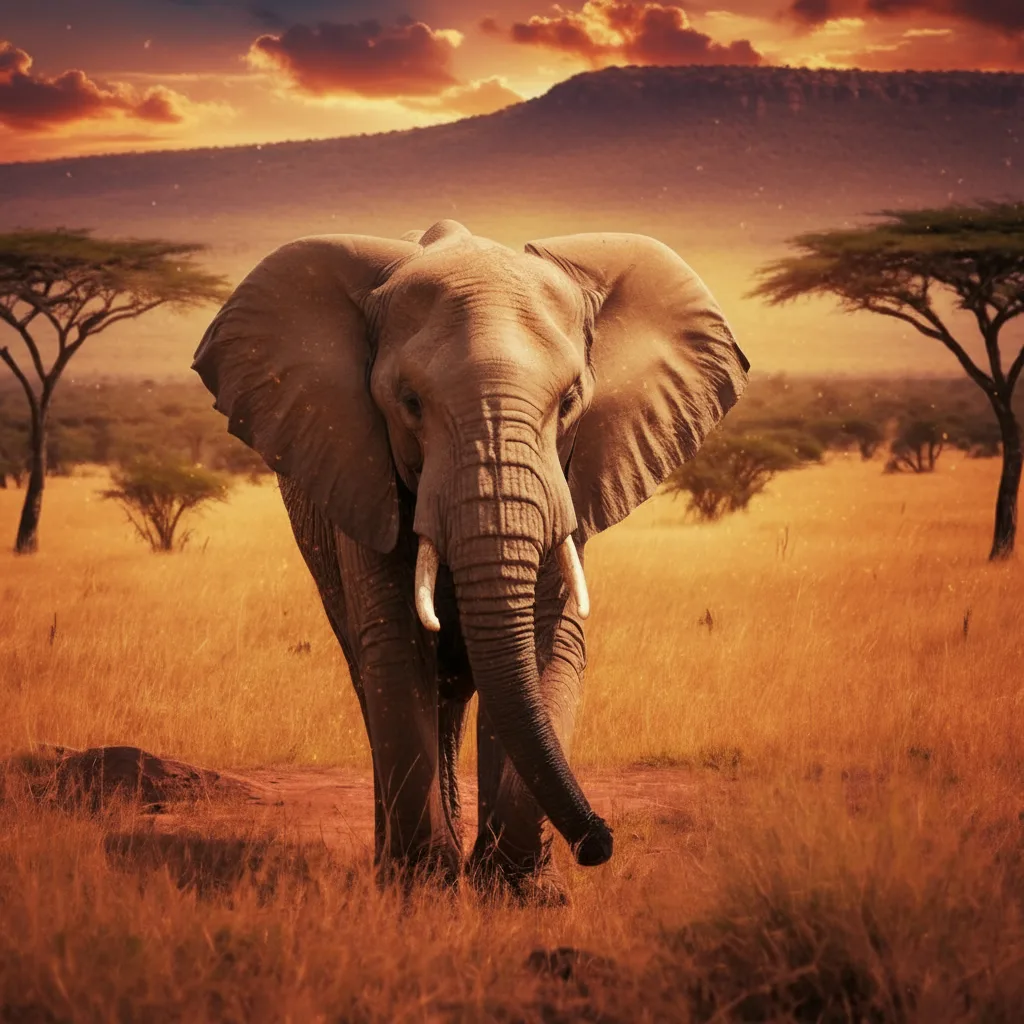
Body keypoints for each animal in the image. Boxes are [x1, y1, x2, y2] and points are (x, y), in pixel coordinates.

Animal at [192, 219, 748, 898]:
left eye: (570, 402)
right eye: (409, 403)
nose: (599, 843)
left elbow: (547, 646)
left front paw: (523, 894)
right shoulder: (361, 470)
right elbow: (397, 646)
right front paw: (423, 890)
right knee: (377, 677)